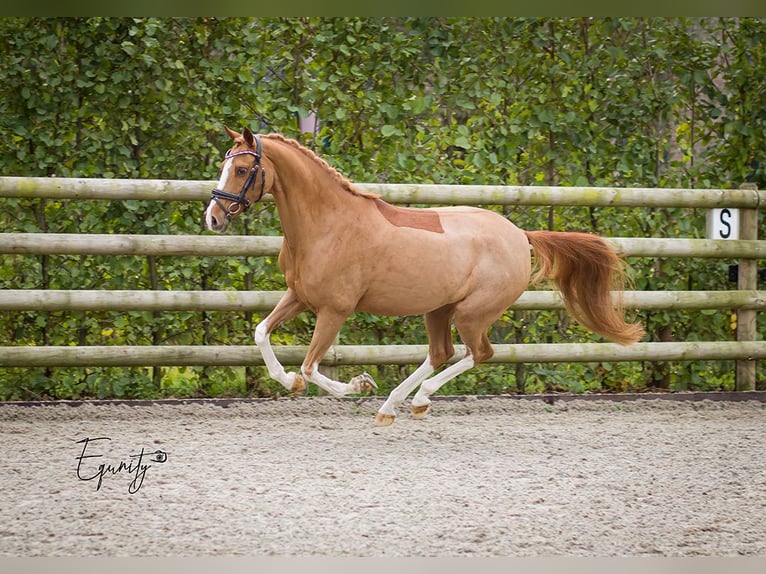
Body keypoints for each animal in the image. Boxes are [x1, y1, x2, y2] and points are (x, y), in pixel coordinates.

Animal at [204, 127, 645, 426]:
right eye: (224, 163)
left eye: (241, 168)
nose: (213, 218)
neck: (328, 224)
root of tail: (521, 235)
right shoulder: (298, 295)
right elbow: (261, 333)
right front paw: (292, 383)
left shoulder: (334, 309)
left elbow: (313, 366)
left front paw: (359, 385)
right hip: (439, 309)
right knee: (441, 353)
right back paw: (393, 406)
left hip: (471, 313)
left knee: (478, 354)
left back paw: (415, 400)